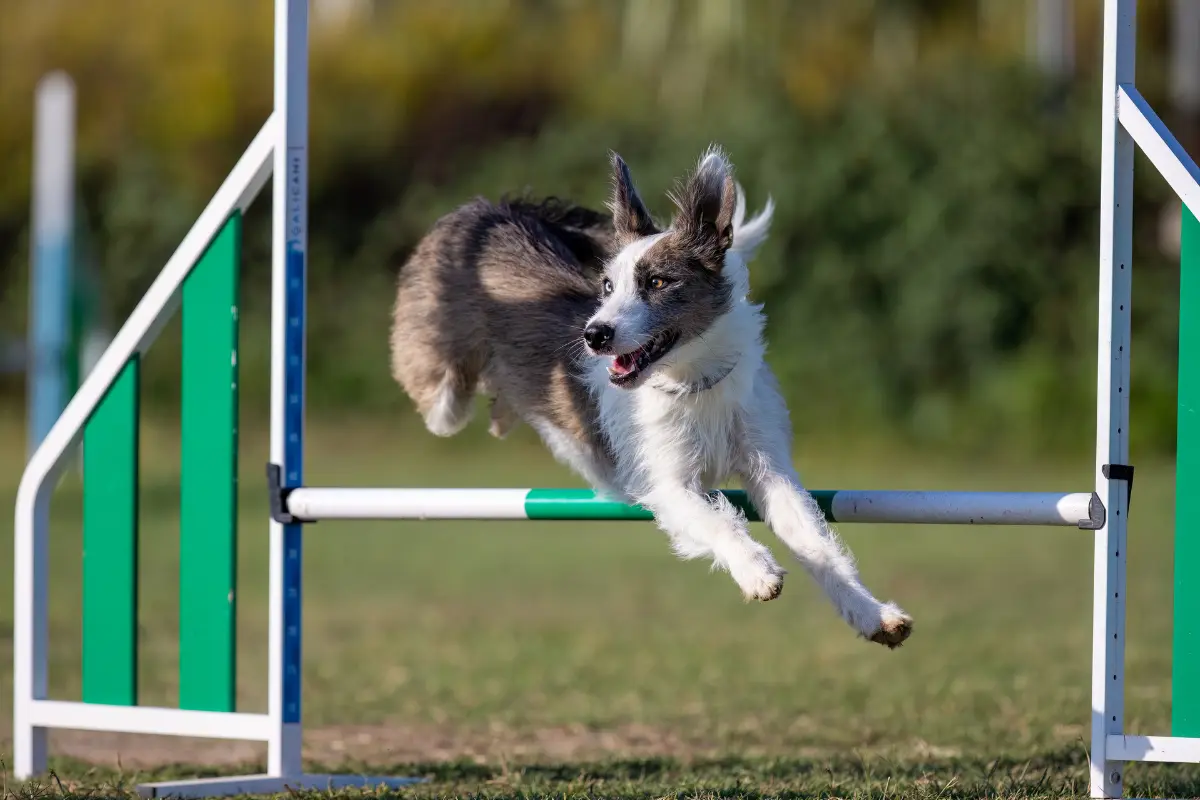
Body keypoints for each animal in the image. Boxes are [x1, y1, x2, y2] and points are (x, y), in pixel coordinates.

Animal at [391, 146, 907, 647]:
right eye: (607, 286)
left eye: (658, 281)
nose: (594, 335)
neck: (693, 382)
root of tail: (498, 208)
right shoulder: (664, 481)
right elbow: (715, 520)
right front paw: (756, 570)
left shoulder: (769, 466)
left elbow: (815, 542)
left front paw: (871, 613)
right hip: (440, 385)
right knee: (446, 399)